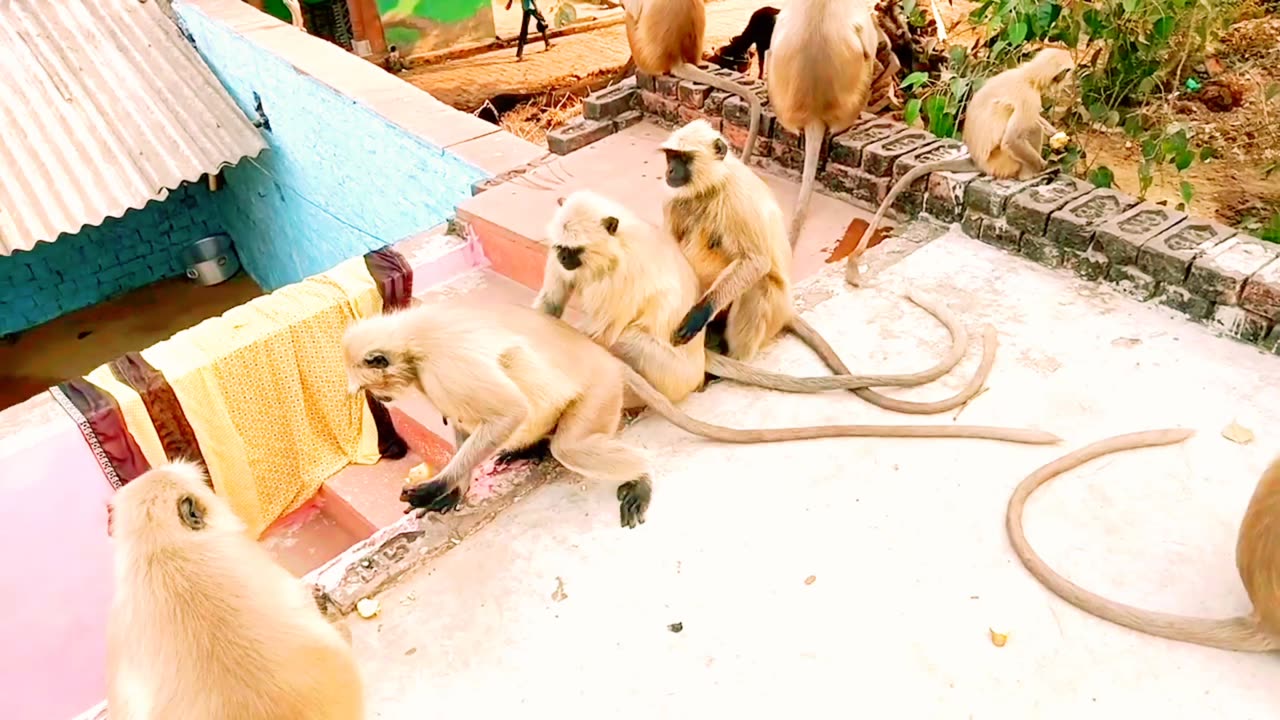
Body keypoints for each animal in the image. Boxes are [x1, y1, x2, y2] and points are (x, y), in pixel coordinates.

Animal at [345, 299, 1064, 525]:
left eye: (365, 378)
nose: (376, 398)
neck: (413, 340)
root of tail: (611, 362)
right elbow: (475, 424)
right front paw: (458, 482)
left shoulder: (445, 362)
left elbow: (499, 412)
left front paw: (442, 485)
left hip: (598, 397)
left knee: (571, 445)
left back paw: (636, 475)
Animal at [849, 45, 1080, 283]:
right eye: (1068, 73)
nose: (1071, 82)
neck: (1028, 76)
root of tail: (976, 159)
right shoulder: (1029, 98)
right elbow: (1013, 138)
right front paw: (1045, 166)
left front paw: (1054, 133)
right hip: (1000, 161)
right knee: (1028, 130)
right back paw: (1032, 175)